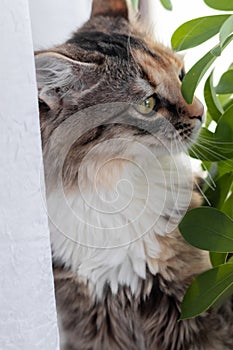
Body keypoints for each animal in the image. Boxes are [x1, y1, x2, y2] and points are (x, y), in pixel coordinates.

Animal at [35, 0, 233, 350]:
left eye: (182, 75)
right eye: (147, 103)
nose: (201, 113)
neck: (114, 181)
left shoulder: (189, 305)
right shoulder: (91, 320)